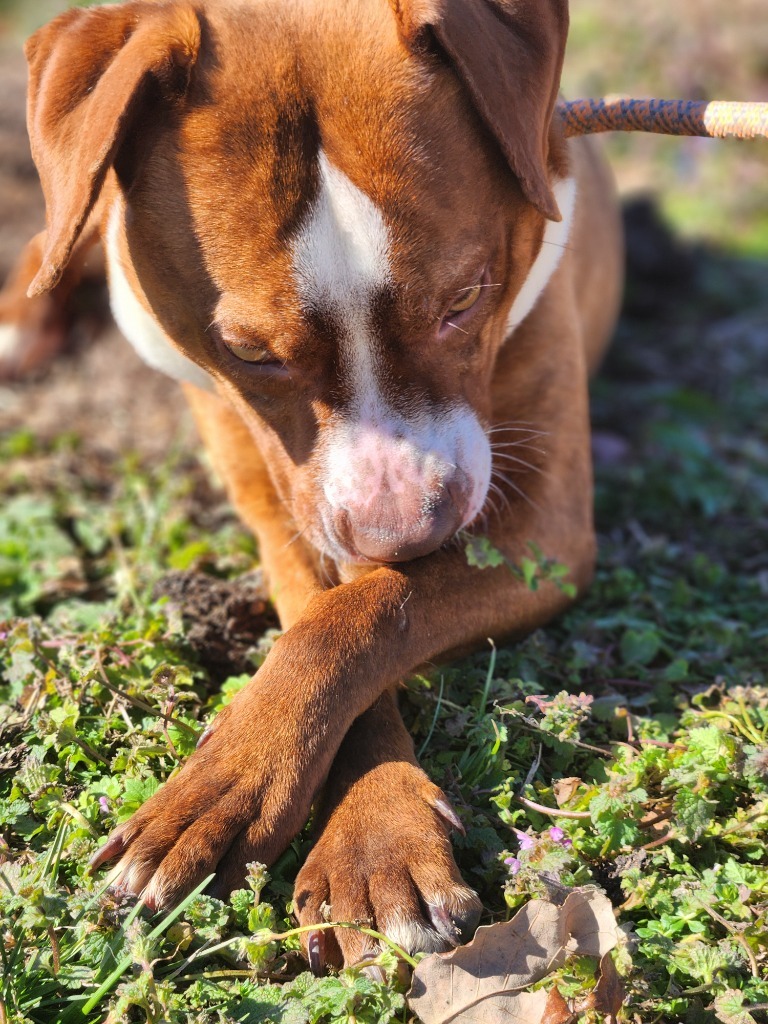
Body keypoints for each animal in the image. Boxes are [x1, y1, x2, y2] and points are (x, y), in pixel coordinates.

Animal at [0, 0, 626, 966]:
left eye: (464, 300)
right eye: (250, 353)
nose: (406, 530)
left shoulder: (542, 533)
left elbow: (366, 611)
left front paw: (368, 843)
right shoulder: (271, 482)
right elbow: (324, 604)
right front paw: (305, 808)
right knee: (69, 221)